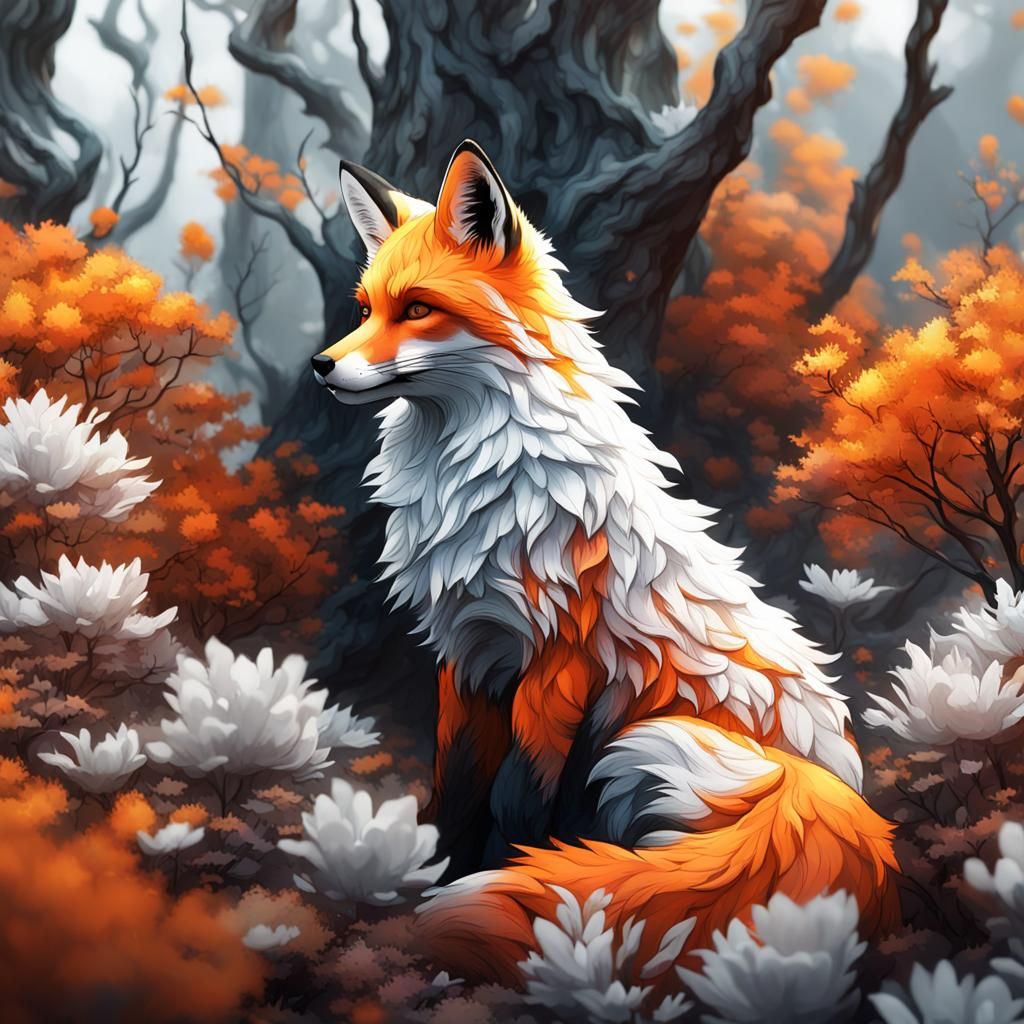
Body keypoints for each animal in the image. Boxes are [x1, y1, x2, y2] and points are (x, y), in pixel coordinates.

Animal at [311, 140, 900, 990]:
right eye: (365, 311)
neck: (480, 488)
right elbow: (455, 789)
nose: (321, 366)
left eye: (416, 309)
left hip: (655, 745)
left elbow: (517, 806)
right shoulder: (469, 650)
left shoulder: (557, 664)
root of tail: (855, 803)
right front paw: (433, 877)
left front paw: (498, 878)